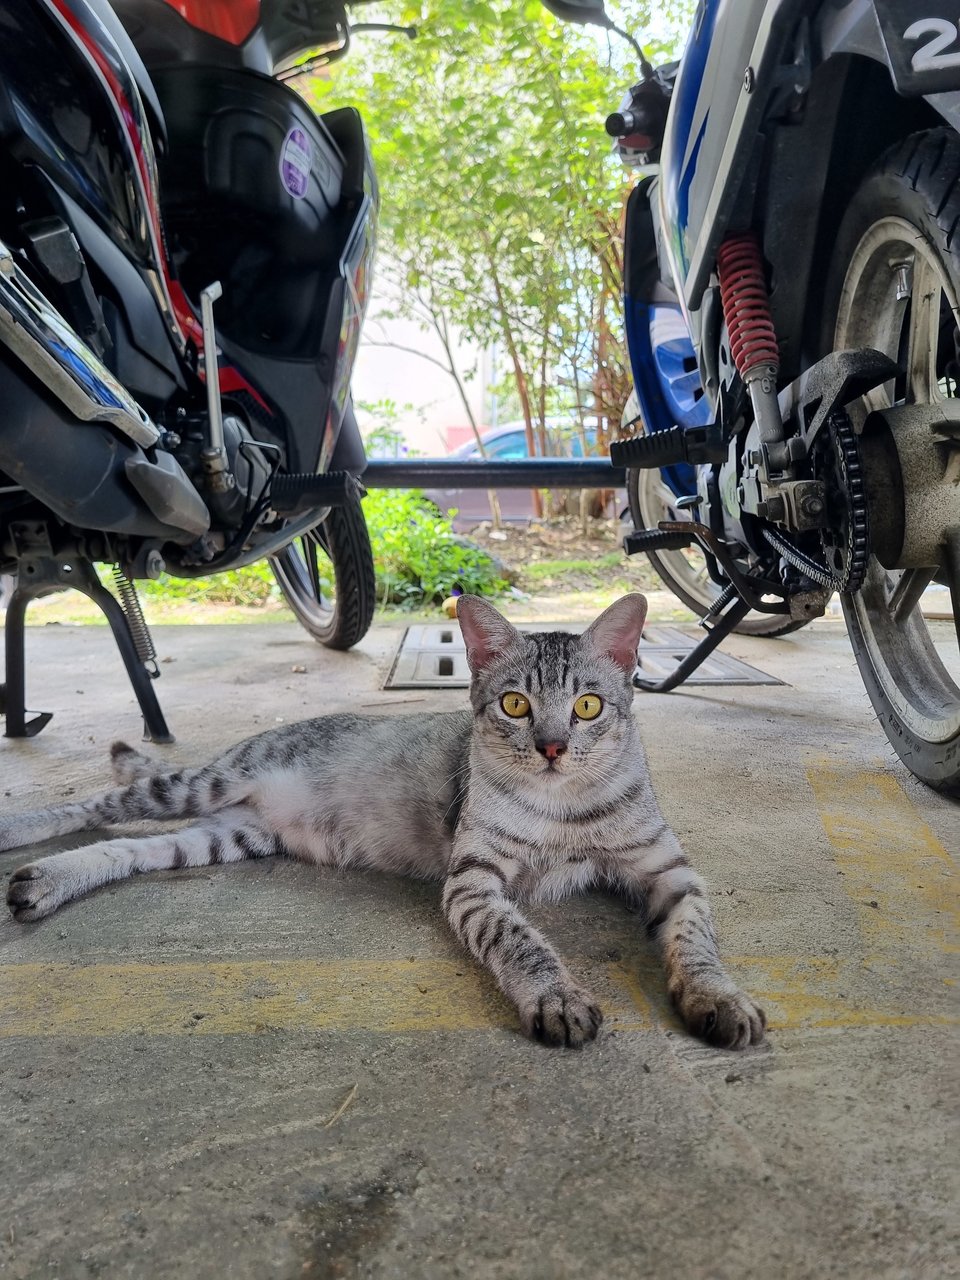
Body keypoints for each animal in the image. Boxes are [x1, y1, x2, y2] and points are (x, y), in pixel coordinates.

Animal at [1, 591, 768, 1049]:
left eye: (587, 706)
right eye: (515, 705)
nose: (552, 747)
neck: (567, 807)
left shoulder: (671, 871)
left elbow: (697, 941)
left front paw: (717, 997)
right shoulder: (473, 880)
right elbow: (521, 940)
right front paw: (555, 995)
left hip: (228, 834)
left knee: (132, 851)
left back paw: (44, 883)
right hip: (198, 785)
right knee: (95, 807)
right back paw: (20, 836)